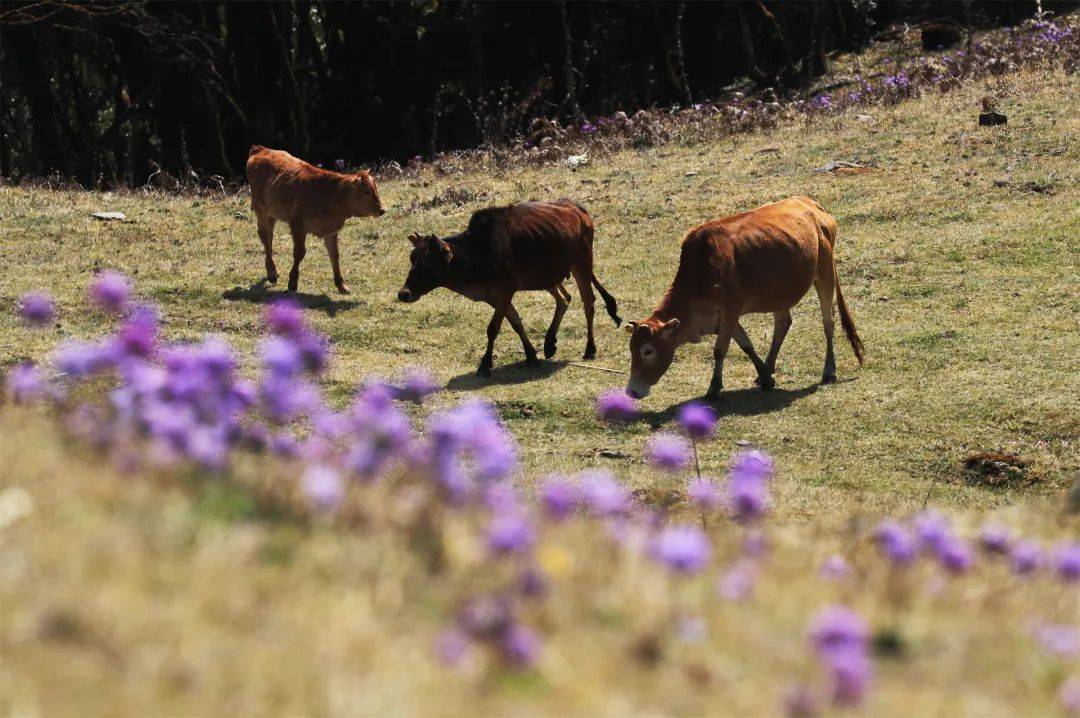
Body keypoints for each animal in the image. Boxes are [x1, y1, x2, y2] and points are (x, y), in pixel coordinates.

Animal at [245, 145, 384, 293]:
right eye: (366, 191)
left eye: (375, 189)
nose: (382, 209)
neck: (332, 194)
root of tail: (260, 149)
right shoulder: (297, 225)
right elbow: (299, 253)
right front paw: (292, 282)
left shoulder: (331, 230)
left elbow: (334, 255)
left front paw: (341, 285)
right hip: (261, 211)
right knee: (266, 238)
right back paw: (272, 273)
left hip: (272, 214)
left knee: (269, 238)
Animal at [397, 196, 622, 375]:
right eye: (412, 257)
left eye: (428, 261)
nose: (403, 294)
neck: (476, 253)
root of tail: (576, 208)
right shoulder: (494, 296)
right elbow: (515, 323)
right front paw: (531, 355)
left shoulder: (506, 289)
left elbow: (493, 327)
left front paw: (485, 364)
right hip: (548, 276)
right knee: (564, 299)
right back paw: (550, 343)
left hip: (582, 264)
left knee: (588, 303)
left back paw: (589, 349)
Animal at [626, 193, 859, 399]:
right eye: (631, 349)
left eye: (648, 351)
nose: (631, 391)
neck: (702, 271)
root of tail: (812, 205)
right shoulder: (725, 316)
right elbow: (746, 344)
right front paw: (765, 377)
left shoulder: (730, 310)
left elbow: (720, 349)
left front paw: (714, 388)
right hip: (781, 293)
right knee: (783, 323)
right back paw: (769, 366)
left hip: (825, 275)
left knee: (828, 322)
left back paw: (829, 370)